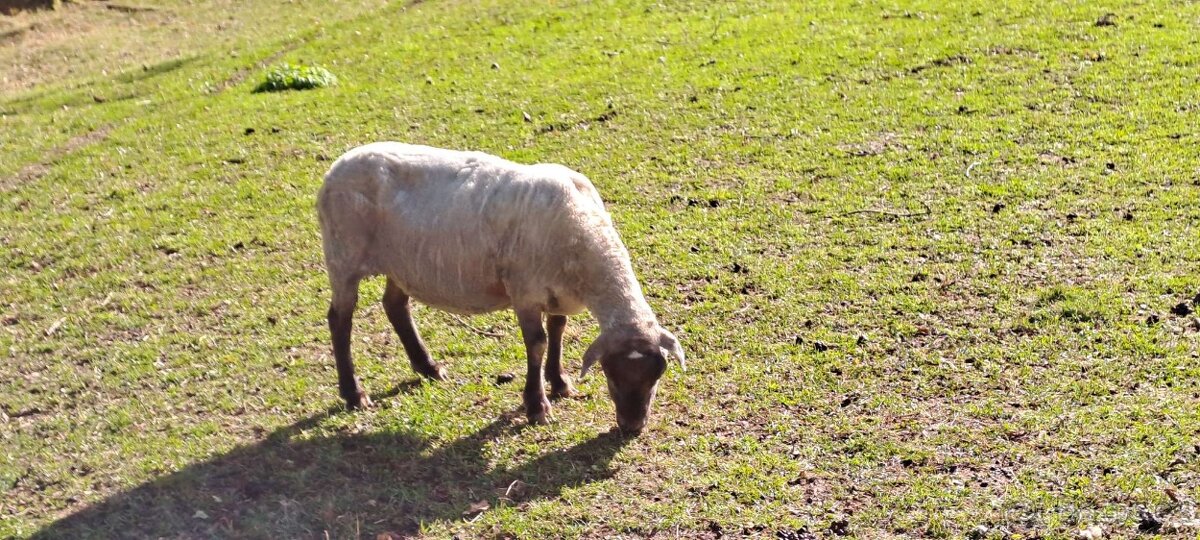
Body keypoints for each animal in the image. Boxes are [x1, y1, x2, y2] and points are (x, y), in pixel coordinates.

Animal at [314, 141, 686, 432]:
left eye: (657, 375)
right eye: (611, 375)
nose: (632, 427)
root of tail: (338, 164)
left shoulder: (556, 294)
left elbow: (558, 331)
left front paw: (559, 383)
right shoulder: (524, 291)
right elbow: (537, 343)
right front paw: (537, 406)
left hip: (402, 262)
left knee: (395, 306)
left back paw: (429, 368)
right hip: (343, 255)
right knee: (340, 319)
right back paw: (354, 394)